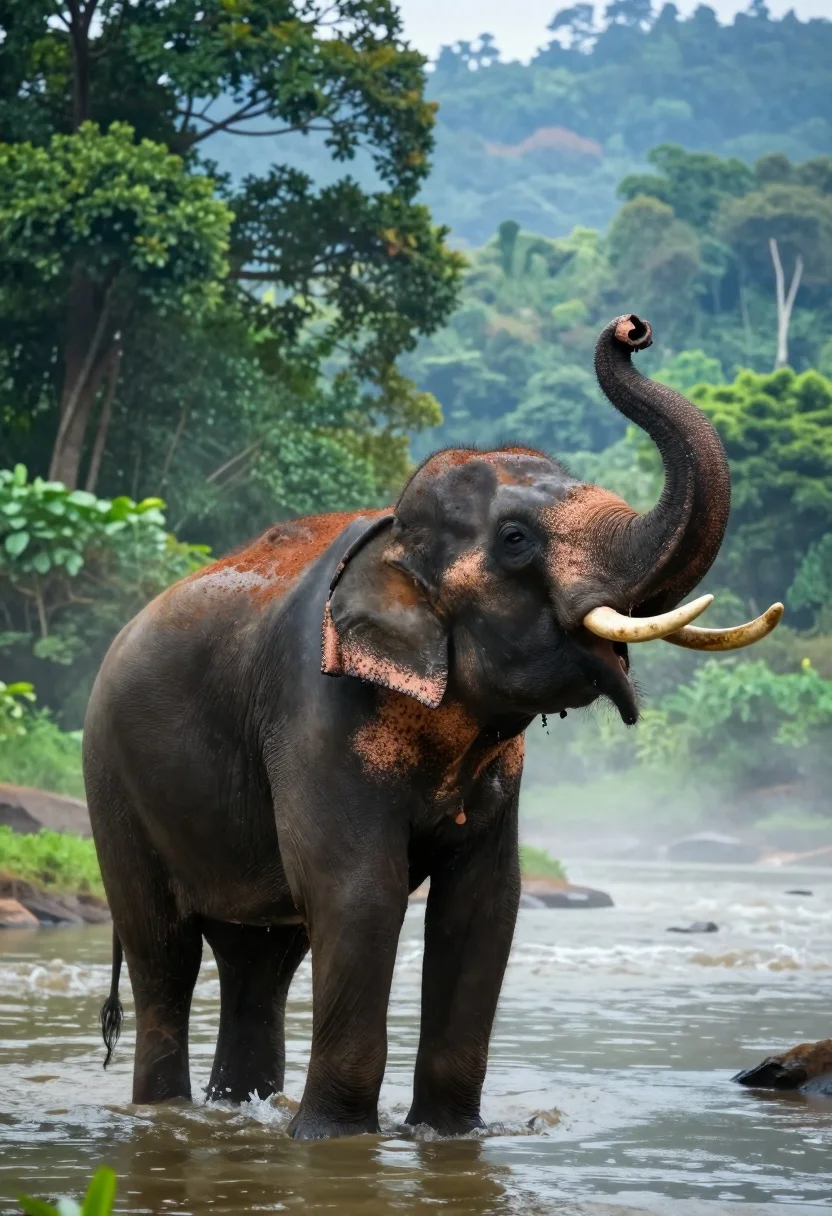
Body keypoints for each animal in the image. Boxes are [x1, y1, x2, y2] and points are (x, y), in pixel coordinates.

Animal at [84, 314, 783, 1139]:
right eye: (515, 540)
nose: (631, 329)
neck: (391, 541)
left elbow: (484, 905)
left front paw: (447, 1138)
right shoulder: (314, 708)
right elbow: (359, 894)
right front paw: (333, 1141)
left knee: (260, 960)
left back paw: (239, 1110)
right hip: (112, 782)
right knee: (165, 954)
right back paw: (171, 1112)